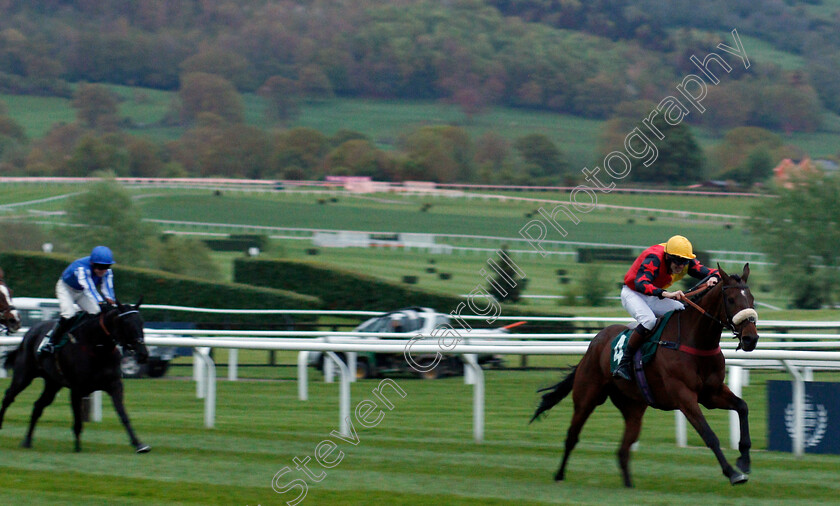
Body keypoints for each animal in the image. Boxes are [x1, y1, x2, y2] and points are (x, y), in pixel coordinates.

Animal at [0, 298, 151, 452]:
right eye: (126, 324)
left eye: (141, 322)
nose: (143, 354)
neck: (97, 349)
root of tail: (31, 331)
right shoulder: (77, 389)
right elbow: (78, 420)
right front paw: (78, 448)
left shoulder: (115, 385)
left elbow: (123, 414)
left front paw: (139, 444)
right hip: (24, 375)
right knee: (8, 397)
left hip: (53, 383)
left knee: (38, 406)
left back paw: (27, 440)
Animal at [532, 264, 760, 486]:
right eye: (731, 299)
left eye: (752, 299)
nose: (751, 339)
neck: (694, 341)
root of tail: (594, 343)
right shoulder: (684, 396)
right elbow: (709, 435)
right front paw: (733, 473)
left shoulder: (711, 393)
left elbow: (743, 407)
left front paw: (744, 460)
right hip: (587, 397)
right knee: (572, 436)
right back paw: (559, 475)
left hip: (633, 406)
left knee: (623, 450)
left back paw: (628, 485)